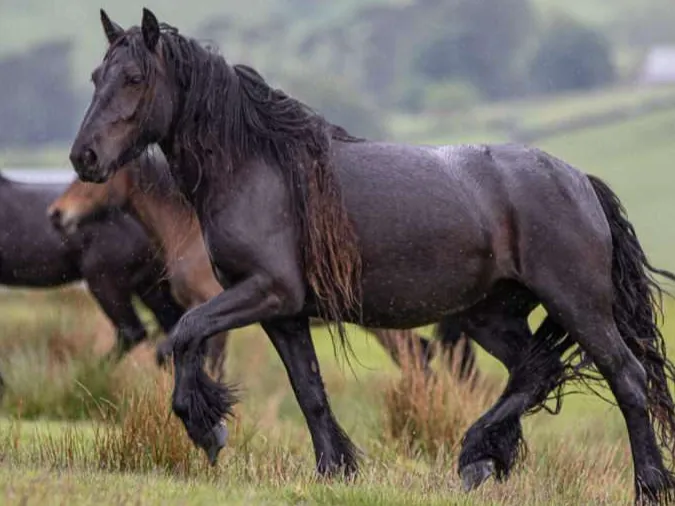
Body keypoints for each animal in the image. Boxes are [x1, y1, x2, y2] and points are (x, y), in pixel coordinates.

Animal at [48, 152, 478, 380]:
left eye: (89, 180)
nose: (56, 214)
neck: (188, 231)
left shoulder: (208, 308)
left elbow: (210, 363)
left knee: (416, 359)